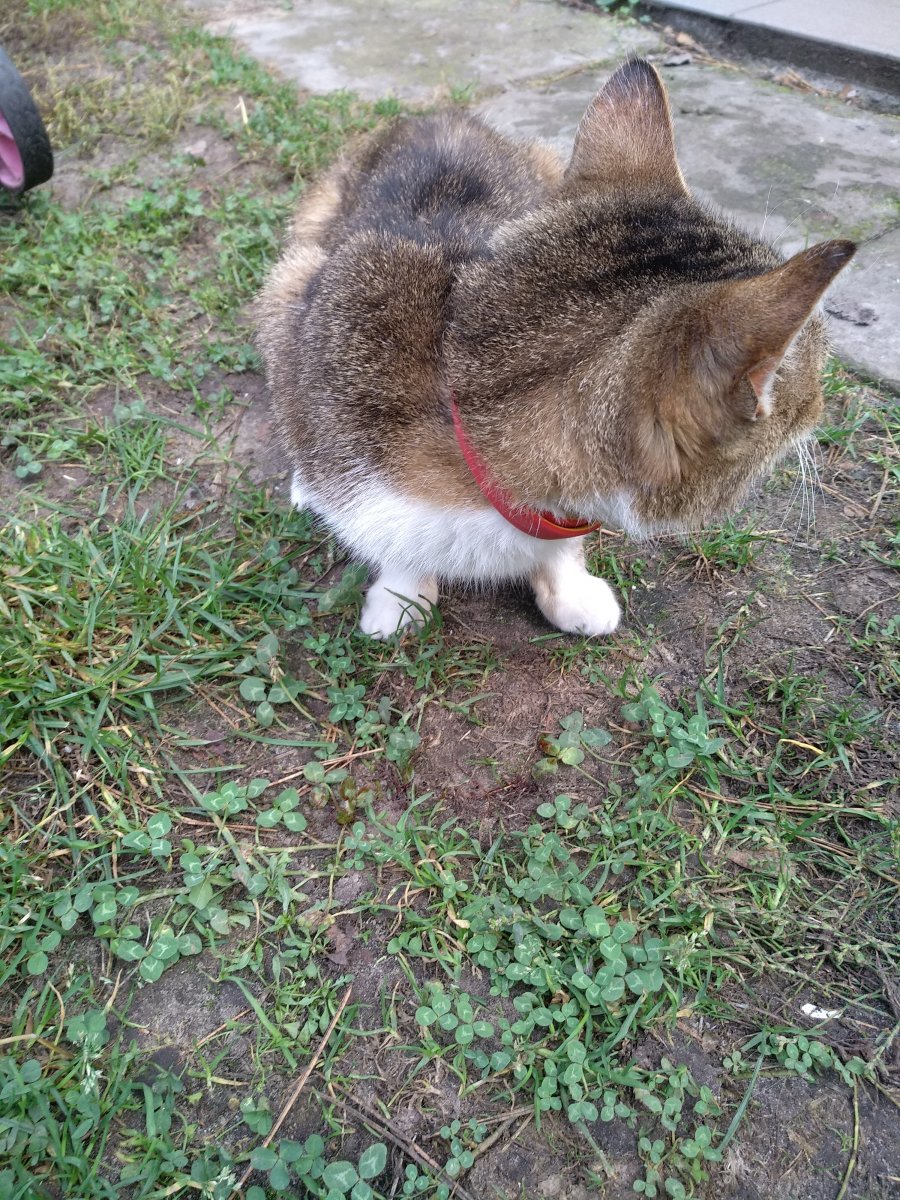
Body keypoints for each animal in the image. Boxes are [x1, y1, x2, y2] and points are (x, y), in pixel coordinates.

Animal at [256, 58, 853, 640]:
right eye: (812, 375)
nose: (824, 405)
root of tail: (432, 114)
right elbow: (389, 538)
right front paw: (400, 597)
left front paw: (568, 588)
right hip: (293, 268)